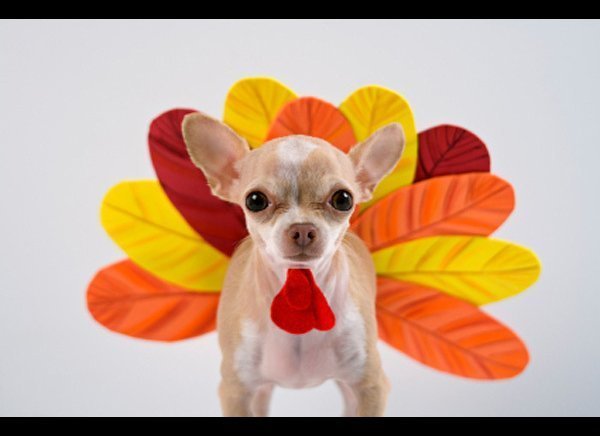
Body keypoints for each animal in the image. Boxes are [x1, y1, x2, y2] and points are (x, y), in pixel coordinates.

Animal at [183, 111, 406, 416]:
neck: (299, 287)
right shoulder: (236, 392)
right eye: (255, 200)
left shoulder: (371, 387)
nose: (302, 229)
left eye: (343, 199)